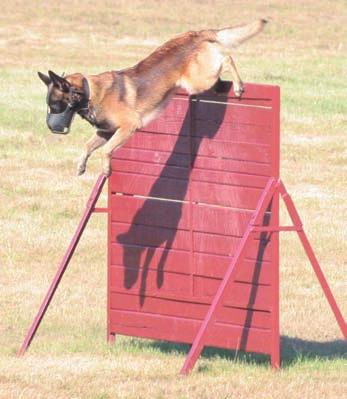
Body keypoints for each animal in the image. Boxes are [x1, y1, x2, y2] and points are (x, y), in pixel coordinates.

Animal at [38, 19, 268, 177]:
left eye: (55, 105)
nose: (51, 127)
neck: (90, 93)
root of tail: (195, 33)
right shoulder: (106, 131)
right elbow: (88, 146)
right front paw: (81, 165)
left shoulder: (128, 127)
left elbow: (106, 150)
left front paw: (106, 169)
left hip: (197, 81)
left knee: (227, 58)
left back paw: (238, 85)